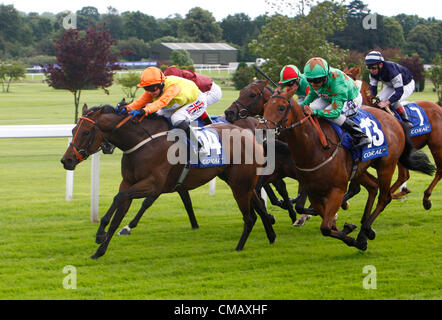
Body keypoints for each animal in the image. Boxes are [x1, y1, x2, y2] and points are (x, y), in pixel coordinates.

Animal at [61, 104, 276, 258]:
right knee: (258, 205)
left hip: (240, 184)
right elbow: (117, 215)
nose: (66, 160)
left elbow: (119, 197)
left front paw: (100, 233)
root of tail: (250, 134)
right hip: (240, 182)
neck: (142, 143)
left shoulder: (152, 185)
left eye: (86, 132)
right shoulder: (129, 183)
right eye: (73, 130)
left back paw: (239, 247)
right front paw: (99, 249)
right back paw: (271, 235)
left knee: (250, 216)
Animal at [258, 88, 434, 250]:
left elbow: (325, 227)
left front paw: (353, 236)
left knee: (384, 197)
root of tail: (394, 120)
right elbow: (327, 223)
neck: (315, 147)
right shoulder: (313, 191)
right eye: (265, 106)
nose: (262, 130)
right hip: (360, 170)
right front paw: (351, 233)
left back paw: (366, 229)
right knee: (373, 186)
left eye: (281, 107)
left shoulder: (337, 189)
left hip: (386, 165)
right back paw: (365, 231)